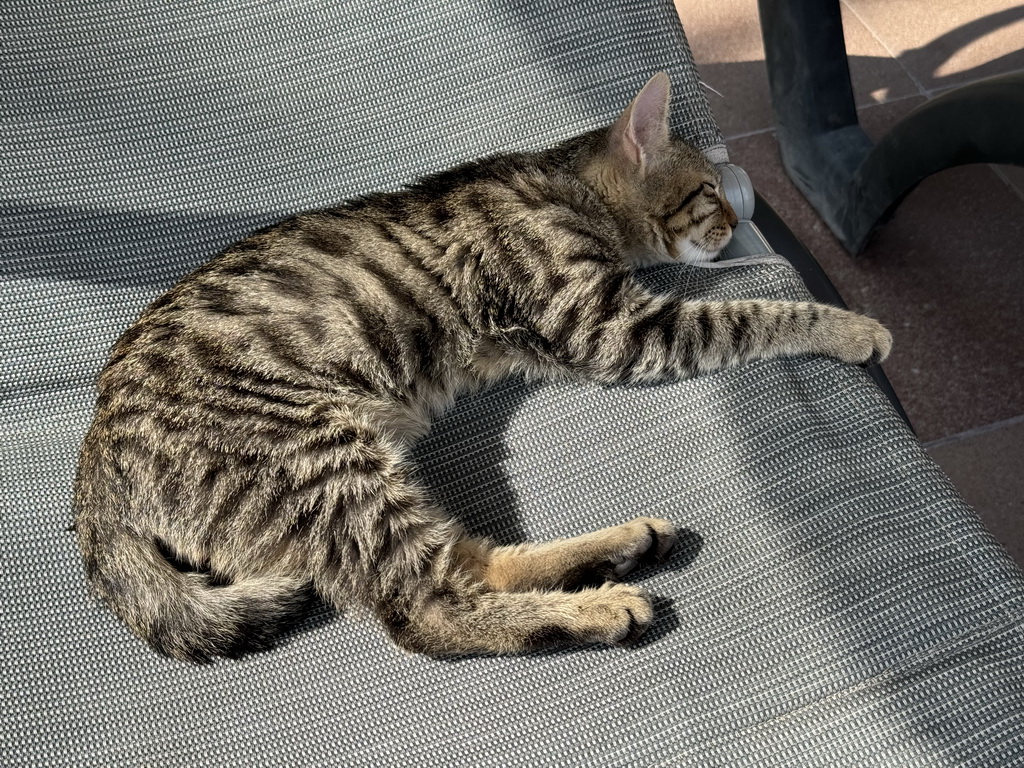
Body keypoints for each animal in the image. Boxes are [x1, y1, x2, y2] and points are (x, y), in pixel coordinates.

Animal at [74, 73, 888, 663]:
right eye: (709, 194)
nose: (735, 219)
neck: (562, 187)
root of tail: (93, 480)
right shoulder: (613, 326)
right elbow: (755, 313)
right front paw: (853, 327)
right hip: (328, 466)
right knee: (429, 610)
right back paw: (599, 606)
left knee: (468, 561)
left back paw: (617, 550)